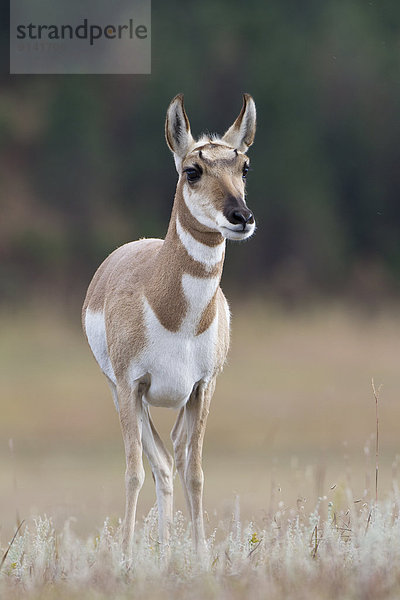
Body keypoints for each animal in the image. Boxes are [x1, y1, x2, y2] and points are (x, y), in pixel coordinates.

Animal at [82, 92, 256, 556]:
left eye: (244, 167)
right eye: (192, 170)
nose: (241, 216)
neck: (178, 319)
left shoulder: (202, 388)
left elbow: (194, 472)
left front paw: (199, 556)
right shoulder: (131, 386)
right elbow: (134, 471)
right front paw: (125, 557)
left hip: (177, 402)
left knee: (172, 459)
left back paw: (165, 548)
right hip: (123, 394)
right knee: (157, 463)